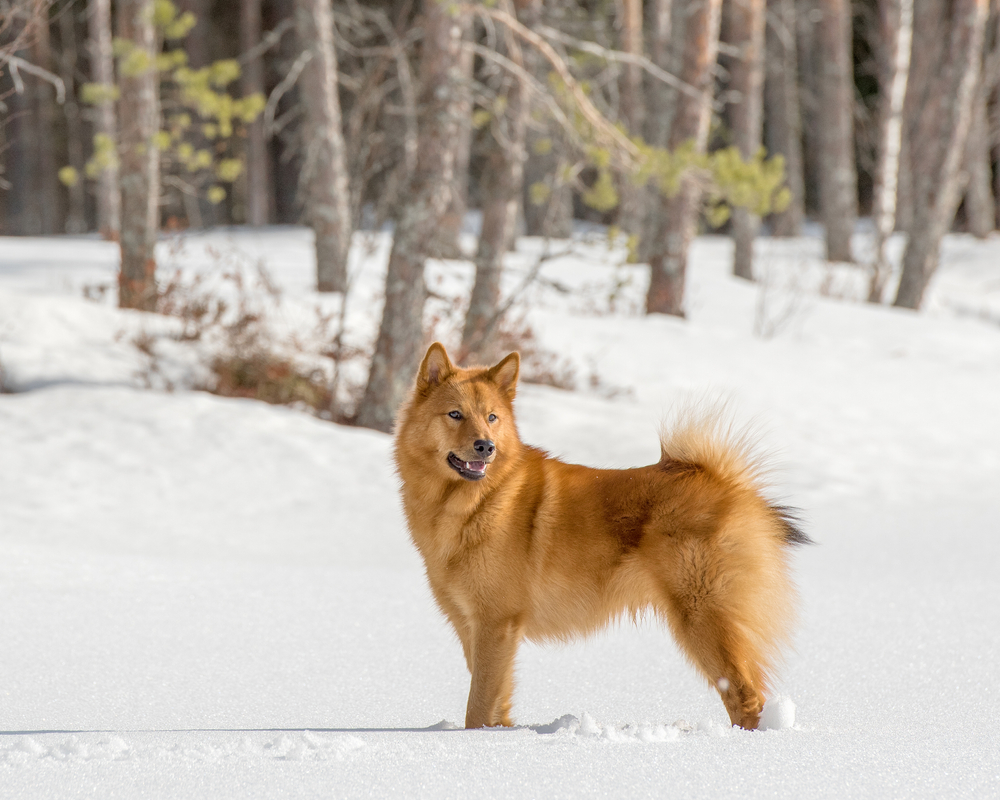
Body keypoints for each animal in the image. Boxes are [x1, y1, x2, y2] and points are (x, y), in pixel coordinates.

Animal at [394, 340, 808, 728]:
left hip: (703, 619)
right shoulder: (475, 628)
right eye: (455, 414)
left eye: (492, 417)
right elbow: (495, 705)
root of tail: (726, 483)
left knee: (746, 698)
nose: (486, 446)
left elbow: (477, 707)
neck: (480, 501)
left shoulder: (496, 624)